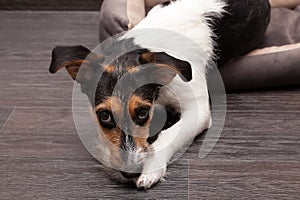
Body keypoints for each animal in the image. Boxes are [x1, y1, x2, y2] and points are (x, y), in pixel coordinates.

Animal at [48, 0, 270, 188]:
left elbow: (169, 135)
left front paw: (151, 169)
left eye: (143, 112)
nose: (129, 172)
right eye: (104, 116)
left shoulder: (198, 110)